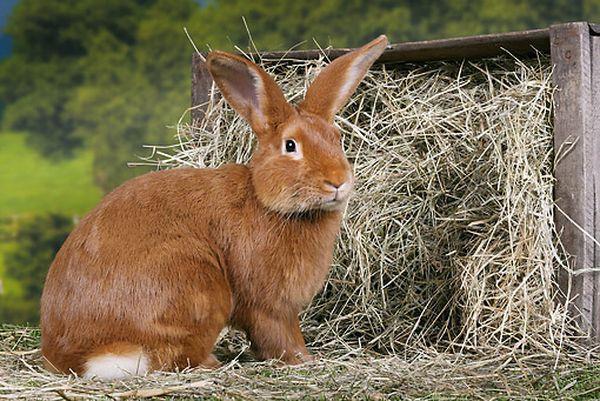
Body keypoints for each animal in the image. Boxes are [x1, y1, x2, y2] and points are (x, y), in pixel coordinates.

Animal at [42, 34, 390, 378]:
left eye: (337, 139)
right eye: (290, 146)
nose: (337, 181)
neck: (266, 202)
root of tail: (82, 358)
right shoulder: (269, 305)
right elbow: (279, 336)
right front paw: (301, 360)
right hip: (197, 285)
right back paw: (213, 363)